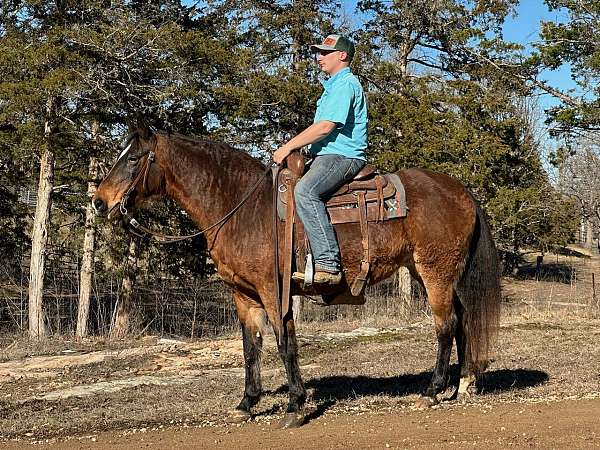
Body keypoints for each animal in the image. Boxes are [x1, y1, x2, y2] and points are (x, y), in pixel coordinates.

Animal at [90, 125, 502, 428]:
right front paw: (247, 403)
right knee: (463, 320)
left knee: (446, 326)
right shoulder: (244, 295)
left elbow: (284, 342)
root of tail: (463, 192)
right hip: (433, 272)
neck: (241, 208)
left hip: (436, 273)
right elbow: (251, 347)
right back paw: (463, 383)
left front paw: (294, 404)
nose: (98, 201)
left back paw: (432, 391)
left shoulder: (274, 290)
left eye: (133, 159)